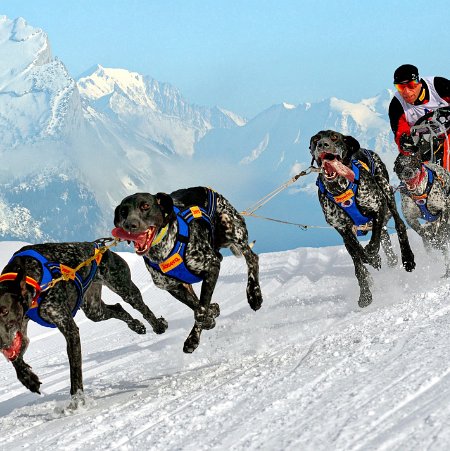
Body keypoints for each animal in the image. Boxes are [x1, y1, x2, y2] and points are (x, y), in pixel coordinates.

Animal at [0, 242, 167, 400]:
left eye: (5, 311)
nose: (1, 344)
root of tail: (100, 246)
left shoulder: (69, 330)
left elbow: (75, 371)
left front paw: (77, 400)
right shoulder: (21, 332)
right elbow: (16, 359)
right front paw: (28, 379)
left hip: (125, 290)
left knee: (143, 308)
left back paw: (158, 325)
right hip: (94, 310)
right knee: (118, 308)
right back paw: (136, 325)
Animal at [111, 186, 264, 354]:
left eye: (145, 206)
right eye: (123, 212)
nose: (129, 225)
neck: (163, 250)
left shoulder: (212, 266)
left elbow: (200, 310)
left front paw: (193, 339)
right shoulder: (174, 287)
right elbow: (197, 306)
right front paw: (211, 316)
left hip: (229, 224)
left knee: (252, 259)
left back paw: (254, 293)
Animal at [310, 129, 414, 308]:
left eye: (334, 137)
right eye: (316, 139)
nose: (322, 144)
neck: (340, 189)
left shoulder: (378, 206)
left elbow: (375, 237)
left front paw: (372, 251)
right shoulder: (343, 230)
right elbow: (359, 258)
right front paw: (365, 293)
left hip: (386, 191)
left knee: (399, 225)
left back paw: (407, 258)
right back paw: (389, 260)